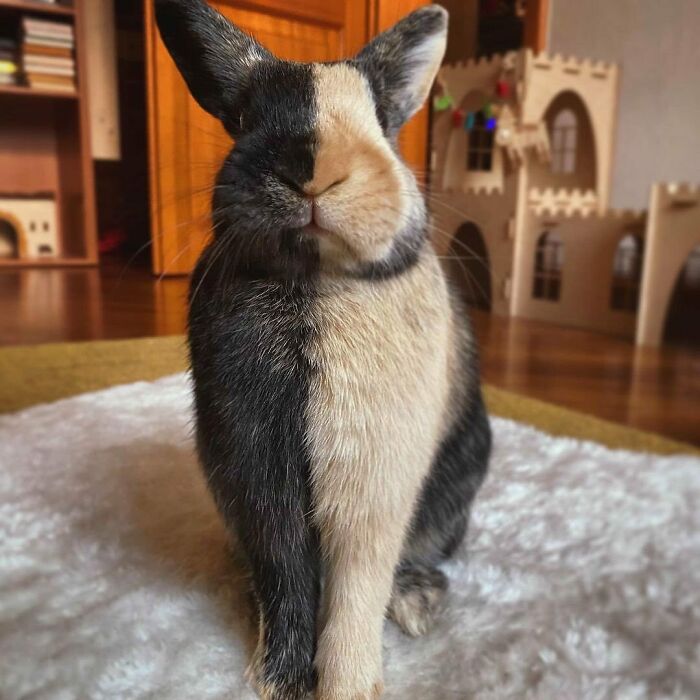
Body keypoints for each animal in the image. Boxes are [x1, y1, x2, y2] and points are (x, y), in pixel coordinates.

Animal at [155, 1, 491, 698]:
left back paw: (415, 605)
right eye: (243, 118)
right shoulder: (255, 470)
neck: (314, 280)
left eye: (383, 122)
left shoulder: (374, 476)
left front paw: (348, 685)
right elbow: (285, 575)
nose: (314, 175)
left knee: (411, 560)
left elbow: (355, 588)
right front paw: (280, 681)